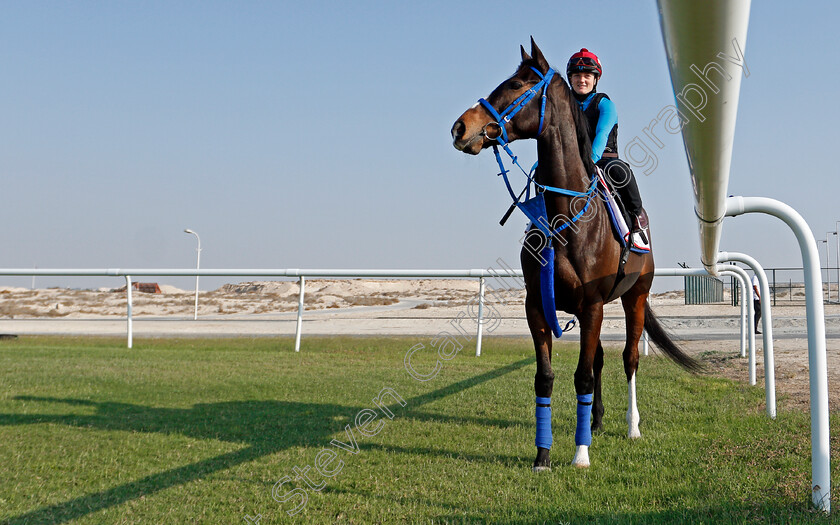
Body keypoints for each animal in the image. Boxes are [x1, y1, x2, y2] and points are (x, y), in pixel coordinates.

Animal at [450, 39, 700, 468]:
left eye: (516, 84)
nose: (461, 127)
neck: (565, 217)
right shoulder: (539, 306)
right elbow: (546, 378)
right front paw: (543, 455)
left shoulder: (593, 305)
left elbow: (582, 374)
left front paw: (580, 455)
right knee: (598, 359)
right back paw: (596, 421)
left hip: (635, 298)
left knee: (628, 359)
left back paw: (631, 427)